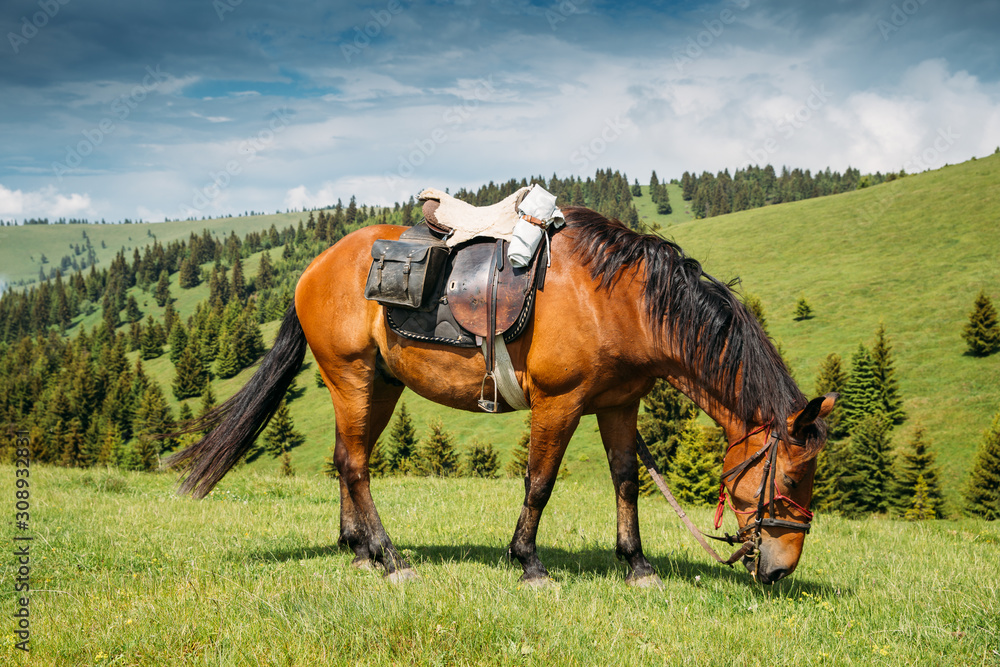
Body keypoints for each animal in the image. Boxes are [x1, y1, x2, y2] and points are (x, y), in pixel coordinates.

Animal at [167, 206, 835, 587]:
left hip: (377, 386)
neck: (622, 300)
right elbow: (540, 483)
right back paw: (389, 558)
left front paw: (637, 565)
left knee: (343, 459)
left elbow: (625, 480)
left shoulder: (620, 404)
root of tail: (313, 268)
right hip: (351, 377)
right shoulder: (560, 403)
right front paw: (528, 562)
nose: (780, 569)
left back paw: (357, 550)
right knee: (355, 465)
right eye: (790, 479)